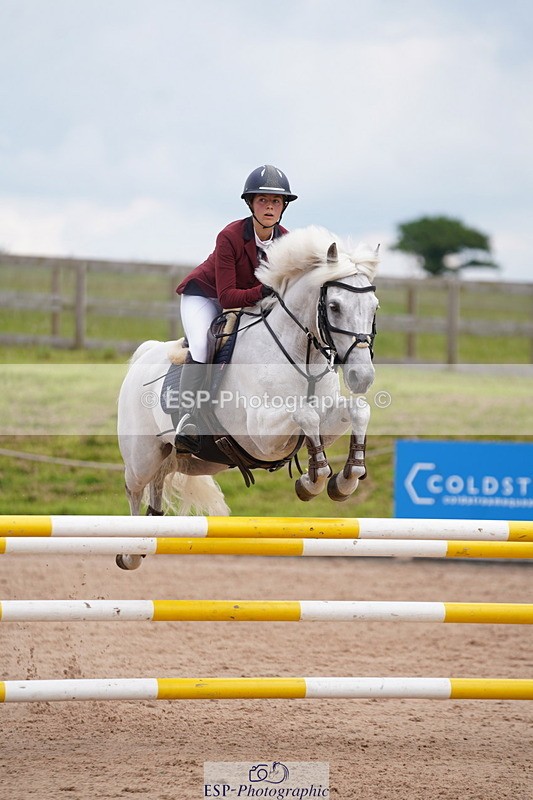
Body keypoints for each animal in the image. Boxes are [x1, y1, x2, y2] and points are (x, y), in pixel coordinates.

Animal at [116, 225, 379, 569]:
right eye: (334, 306)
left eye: (374, 307)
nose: (363, 377)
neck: (302, 355)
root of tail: (145, 353)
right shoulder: (261, 434)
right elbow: (304, 414)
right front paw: (314, 480)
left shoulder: (329, 421)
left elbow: (357, 410)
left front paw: (344, 480)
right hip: (143, 456)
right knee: (135, 487)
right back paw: (131, 552)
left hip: (196, 460)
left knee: (160, 480)